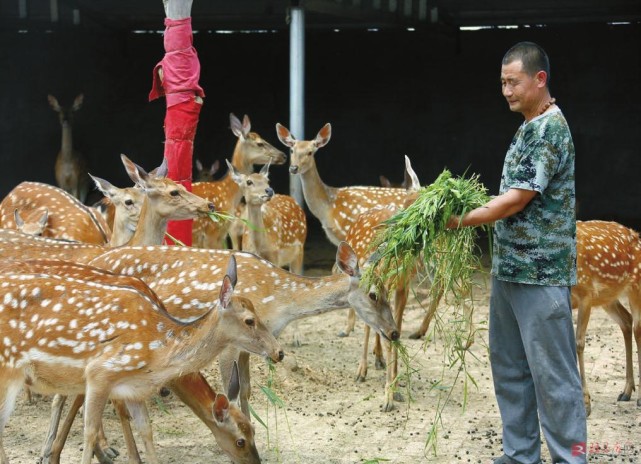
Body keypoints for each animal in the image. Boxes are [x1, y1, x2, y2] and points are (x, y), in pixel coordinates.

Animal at [0, 258, 282, 464]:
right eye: (240, 440)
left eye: (254, 430)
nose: (278, 352)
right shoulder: (99, 373)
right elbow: (90, 428)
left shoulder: (132, 388)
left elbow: (146, 429)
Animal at [87, 241, 398, 416]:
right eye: (373, 294)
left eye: (387, 290)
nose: (394, 332)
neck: (282, 302)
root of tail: (92, 259)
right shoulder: (230, 342)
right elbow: (231, 392)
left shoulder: (253, 347)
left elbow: (247, 390)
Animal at [568, 219, 640, 416]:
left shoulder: (586, 293)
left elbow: (579, 343)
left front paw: (585, 404)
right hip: (607, 296)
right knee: (626, 321)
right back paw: (626, 391)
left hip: (636, 287)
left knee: (638, 328)